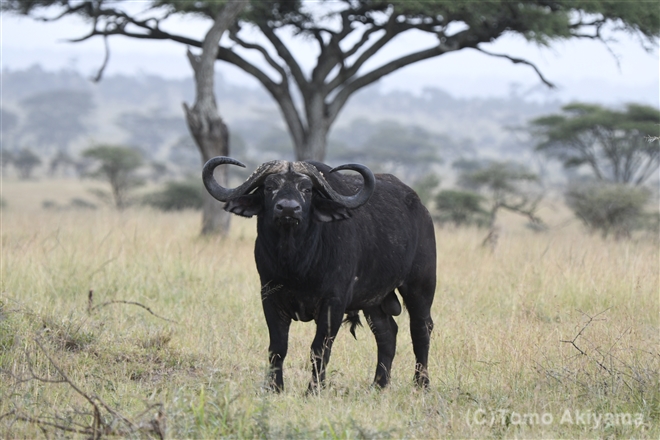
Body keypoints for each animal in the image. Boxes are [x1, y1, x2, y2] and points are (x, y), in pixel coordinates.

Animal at [204, 157, 436, 392]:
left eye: (306, 189)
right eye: (270, 187)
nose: (288, 209)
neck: (296, 263)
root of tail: (422, 209)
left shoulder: (333, 304)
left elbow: (319, 349)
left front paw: (313, 390)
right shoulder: (269, 296)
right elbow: (277, 347)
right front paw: (274, 387)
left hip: (420, 287)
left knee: (421, 329)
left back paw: (421, 384)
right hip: (374, 300)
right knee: (387, 333)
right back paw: (378, 385)